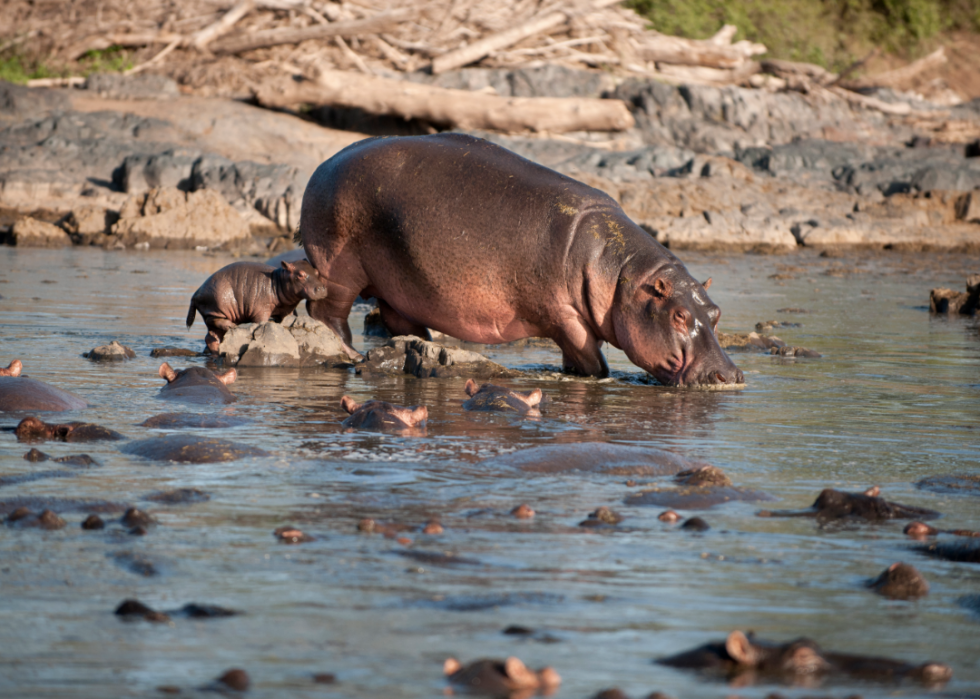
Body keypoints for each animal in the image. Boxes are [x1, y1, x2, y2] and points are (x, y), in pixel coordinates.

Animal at [188, 260, 330, 352]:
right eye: (300, 274)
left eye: (316, 271)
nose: (322, 288)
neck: (278, 282)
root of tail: (196, 292)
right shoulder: (261, 309)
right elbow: (261, 321)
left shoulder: (287, 309)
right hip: (218, 307)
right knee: (213, 321)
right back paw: (231, 326)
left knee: (211, 337)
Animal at [298, 134, 744, 386]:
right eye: (679, 316)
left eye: (716, 312)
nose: (732, 375)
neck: (624, 279)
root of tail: (324, 163)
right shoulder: (566, 318)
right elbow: (593, 363)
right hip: (338, 266)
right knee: (329, 313)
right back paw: (349, 353)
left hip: (398, 286)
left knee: (399, 321)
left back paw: (422, 347)